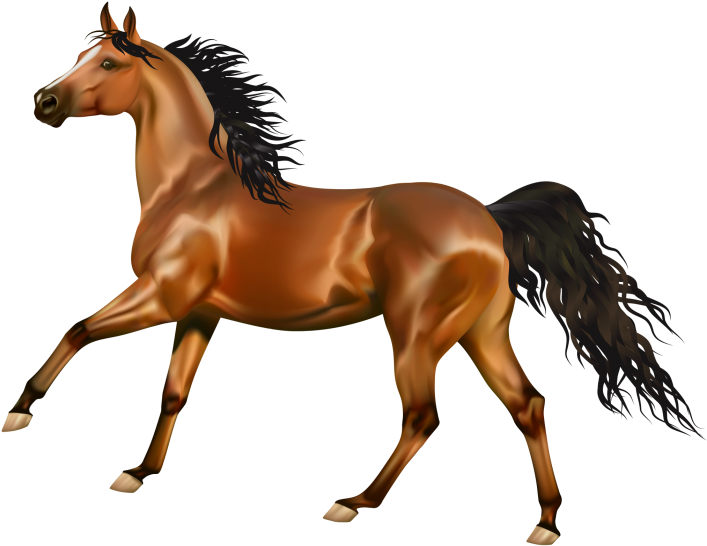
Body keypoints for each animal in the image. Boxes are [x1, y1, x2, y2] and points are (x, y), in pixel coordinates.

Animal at [9, 3, 704, 544]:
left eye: (108, 63)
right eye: (79, 54)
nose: (43, 102)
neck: (192, 189)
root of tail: (489, 220)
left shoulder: (160, 297)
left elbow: (77, 329)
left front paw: (18, 413)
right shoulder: (201, 313)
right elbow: (175, 391)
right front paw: (137, 473)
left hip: (417, 333)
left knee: (423, 415)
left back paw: (351, 503)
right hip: (482, 331)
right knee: (526, 404)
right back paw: (547, 523)